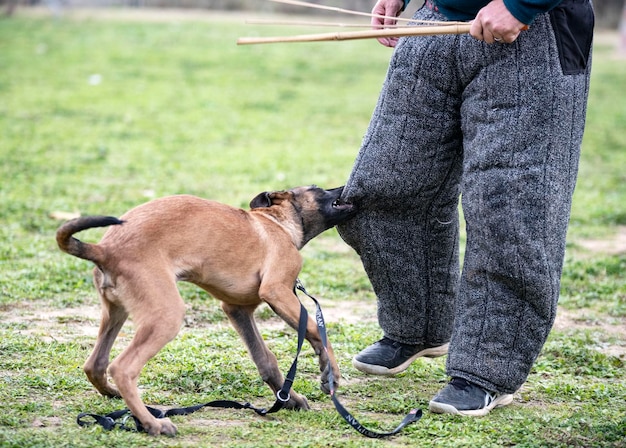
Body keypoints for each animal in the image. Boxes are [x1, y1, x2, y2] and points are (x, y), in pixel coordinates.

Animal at [56, 185, 354, 434]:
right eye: (317, 188)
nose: (345, 187)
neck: (277, 223)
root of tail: (104, 249)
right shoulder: (277, 291)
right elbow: (316, 329)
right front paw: (330, 372)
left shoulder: (237, 309)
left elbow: (266, 360)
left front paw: (288, 399)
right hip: (166, 315)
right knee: (122, 368)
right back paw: (153, 424)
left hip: (116, 311)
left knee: (95, 364)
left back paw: (122, 403)